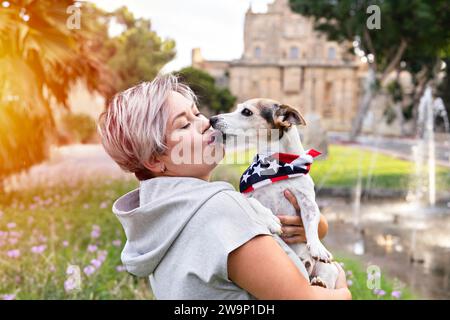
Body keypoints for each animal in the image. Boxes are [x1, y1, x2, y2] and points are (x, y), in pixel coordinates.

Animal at [211, 97, 338, 288]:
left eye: (246, 112)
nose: (212, 119)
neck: (276, 165)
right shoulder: (247, 195)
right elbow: (253, 202)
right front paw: (271, 220)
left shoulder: (307, 202)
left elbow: (312, 223)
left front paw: (317, 246)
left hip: (329, 268)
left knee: (328, 278)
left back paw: (320, 282)